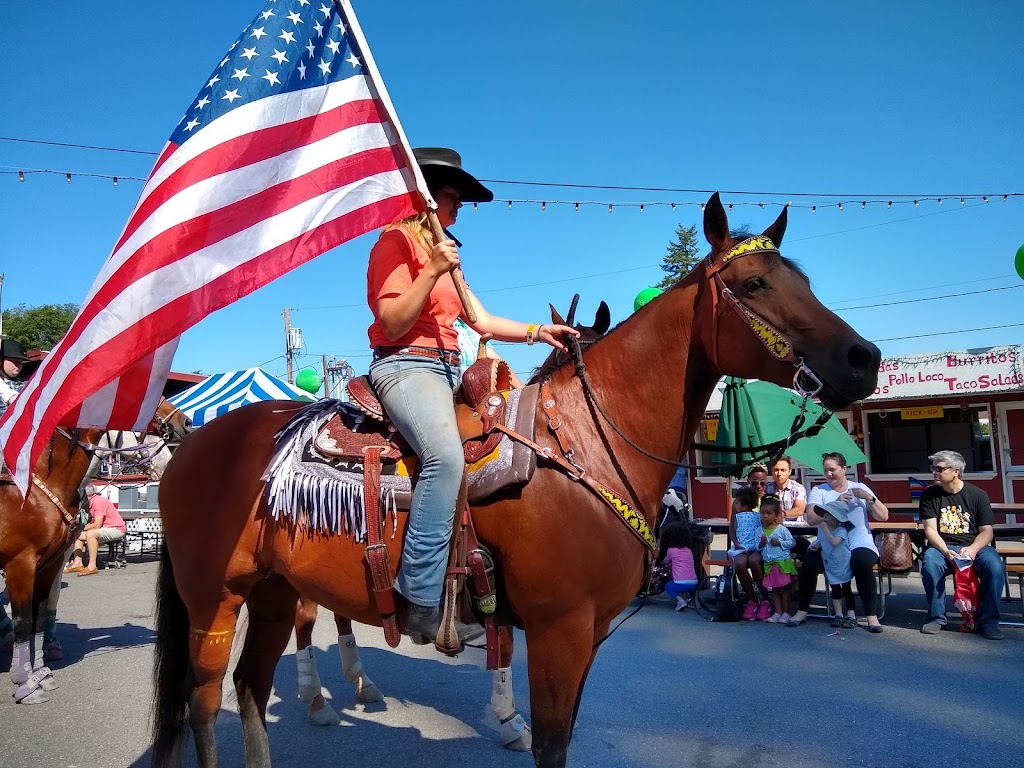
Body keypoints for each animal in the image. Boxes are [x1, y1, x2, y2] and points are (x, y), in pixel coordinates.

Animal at [0, 399, 190, 708]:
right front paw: (26, 682)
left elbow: (42, 609)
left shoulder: (51, 560)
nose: (184, 423)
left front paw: (42, 669)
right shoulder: (21, 563)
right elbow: (23, 619)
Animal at [284, 296, 610, 749]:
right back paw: (316, 697)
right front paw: (510, 719)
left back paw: (360, 682)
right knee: (305, 615)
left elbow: (503, 645)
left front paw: (508, 716)